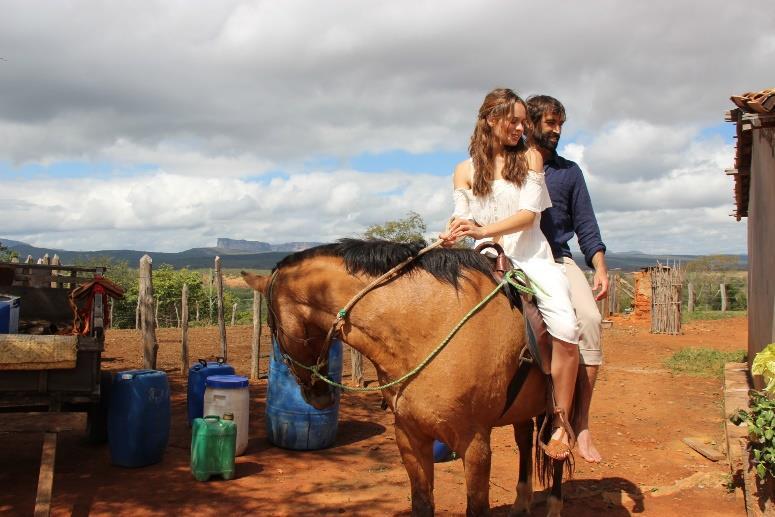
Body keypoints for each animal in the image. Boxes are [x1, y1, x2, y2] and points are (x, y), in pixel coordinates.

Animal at [242, 240, 576, 512]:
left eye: (272, 328)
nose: (317, 397)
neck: (429, 327)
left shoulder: (476, 443)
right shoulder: (409, 435)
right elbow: (422, 503)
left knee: (557, 449)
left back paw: (554, 505)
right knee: (524, 439)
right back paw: (521, 503)